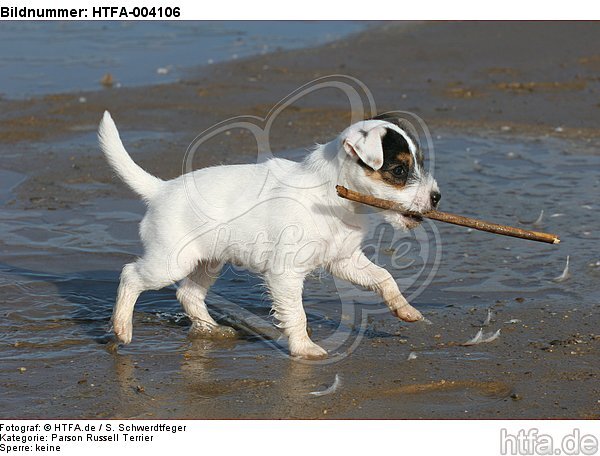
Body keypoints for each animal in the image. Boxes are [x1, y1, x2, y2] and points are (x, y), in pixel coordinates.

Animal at [98, 111, 440, 360]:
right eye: (399, 171)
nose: (436, 197)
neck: (332, 196)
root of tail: (161, 189)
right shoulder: (285, 273)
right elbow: (297, 314)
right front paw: (304, 348)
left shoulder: (344, 260)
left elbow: (384, 277)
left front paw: (405, 309)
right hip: (170, 262)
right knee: (130, 275)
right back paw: (122, 328)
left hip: (208, 261)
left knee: (188, 294)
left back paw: (212, 329)